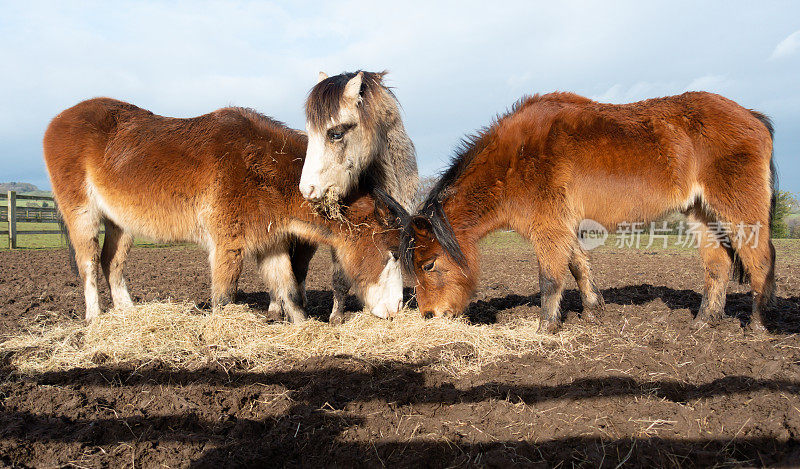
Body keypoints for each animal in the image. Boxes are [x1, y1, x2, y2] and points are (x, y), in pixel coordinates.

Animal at [43, 97, 406, 324]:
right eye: (392, 253)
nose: (396, 309)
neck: (261, 165)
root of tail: (57, 121)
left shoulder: (271, 244)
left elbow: (289, 291)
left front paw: (303, 329)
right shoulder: (227, 245)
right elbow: (223, 297)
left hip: (121, 223)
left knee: (112, 264)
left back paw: (128, 315)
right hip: (83, 215)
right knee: (89, 264)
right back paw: (95, 319)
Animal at [404, 91, 780, 332]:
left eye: (429, 264)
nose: (429, 315)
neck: (514, 160)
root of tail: (752, 117)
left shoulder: (549, 228)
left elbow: (550, 277)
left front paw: (546, 327)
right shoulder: (565, 225)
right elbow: (578, 266)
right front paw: (592, 311)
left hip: (739, 211)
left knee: (760, 260)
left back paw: (758, 325)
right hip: (702, 214)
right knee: (718, 265)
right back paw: (704, 322)